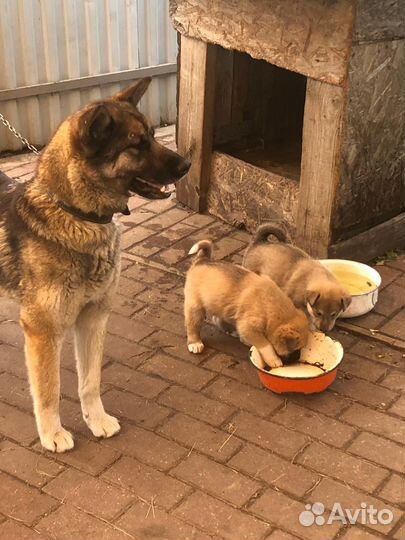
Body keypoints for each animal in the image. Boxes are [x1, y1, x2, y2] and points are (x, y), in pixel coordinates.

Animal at [0, 78, 190, 454]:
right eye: (136, 144)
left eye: (151, 135)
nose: (188, 163)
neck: (74, 214)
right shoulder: (43, 332)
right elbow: (49, 390)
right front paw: (52, 434)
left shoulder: (93, 319)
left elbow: (90, 381)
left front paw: (96, 420)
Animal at [181, 239, 308, 368]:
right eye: (296, 349)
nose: (295, 361)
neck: (271, 306)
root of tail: (202, 260)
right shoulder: (249, 327)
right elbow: (266, 346)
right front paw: (274, 360)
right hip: (195, 307)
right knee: (193, 325)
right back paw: (195, 343)